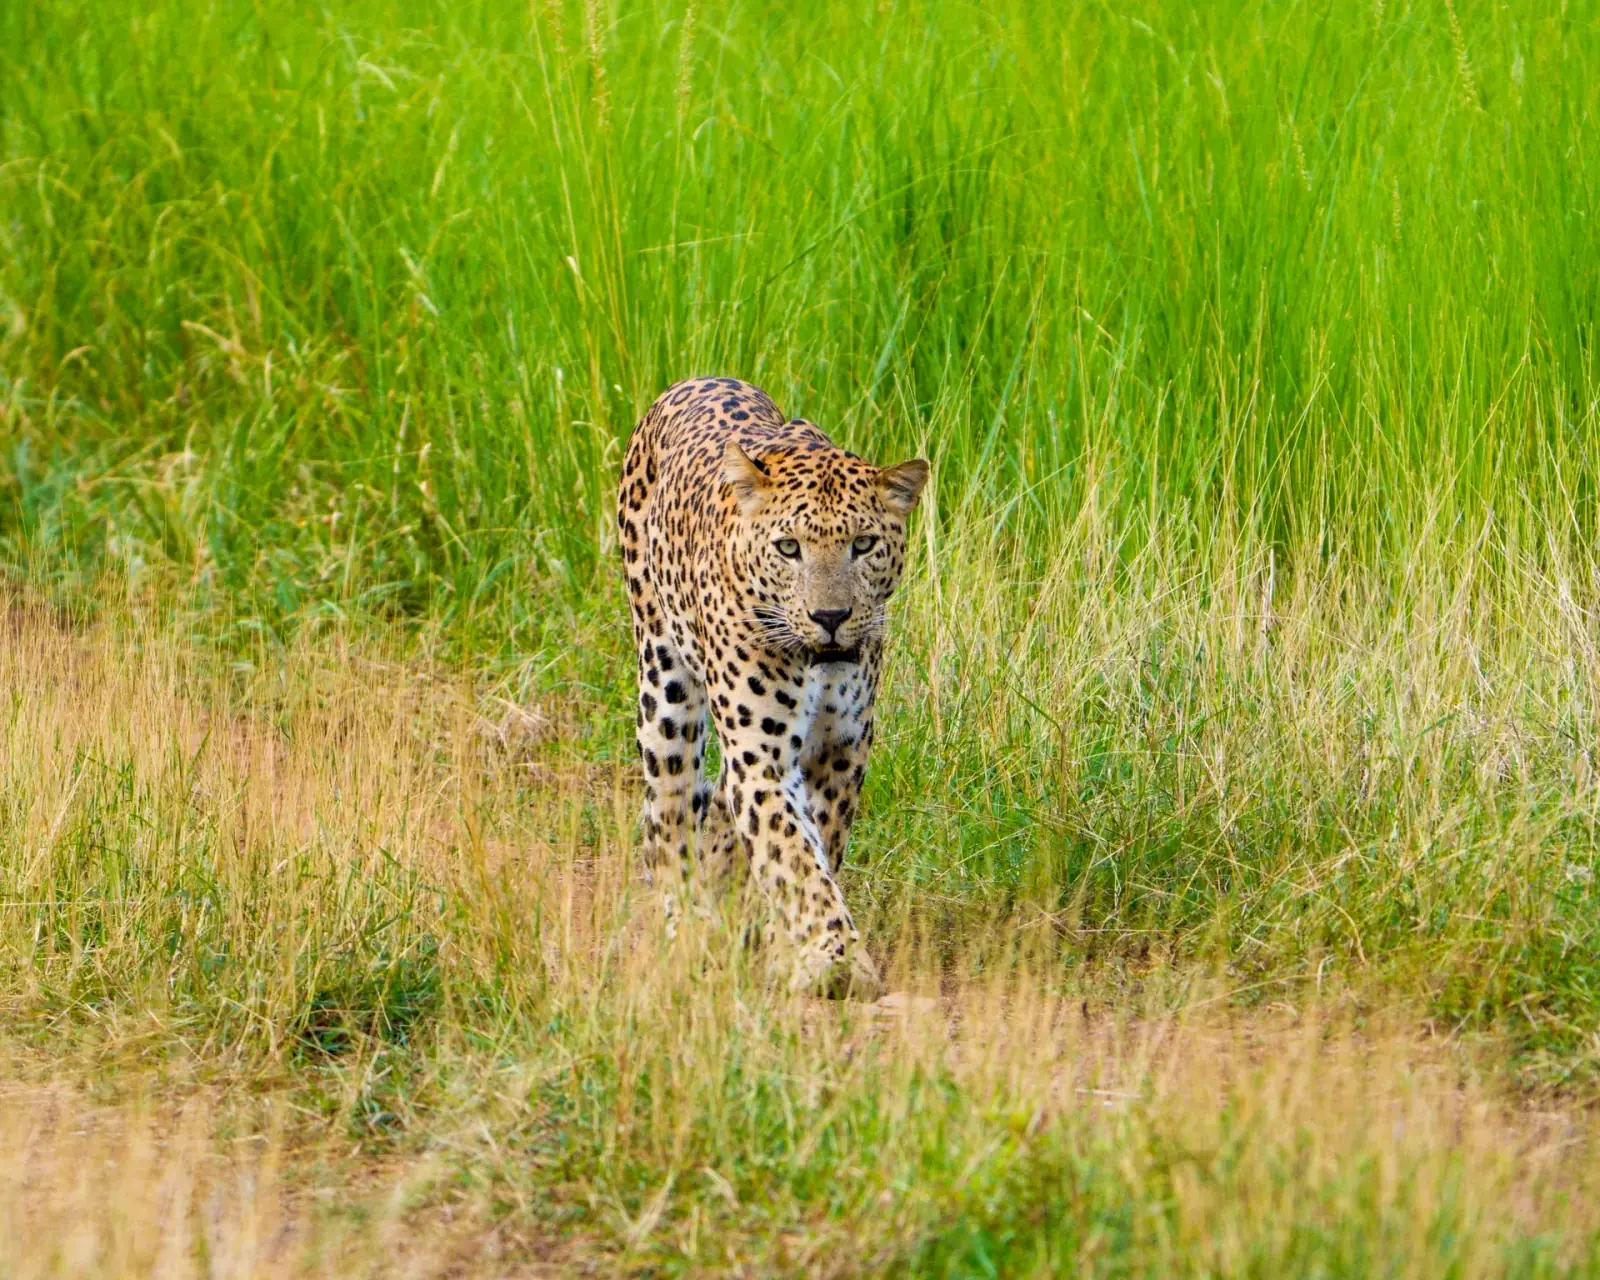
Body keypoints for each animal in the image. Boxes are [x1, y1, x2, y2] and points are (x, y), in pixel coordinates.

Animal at [616, 376, 929, 999]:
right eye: (789, 548)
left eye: (863, 545)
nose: (830, 617)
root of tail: (696, 379)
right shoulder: (762, 756)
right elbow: (794, 858)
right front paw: (836, 961)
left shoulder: (840, 750)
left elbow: (813, 846)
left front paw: (791, 946)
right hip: (664, 688)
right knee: (668, 814)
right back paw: (685, 922)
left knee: (713, 810)